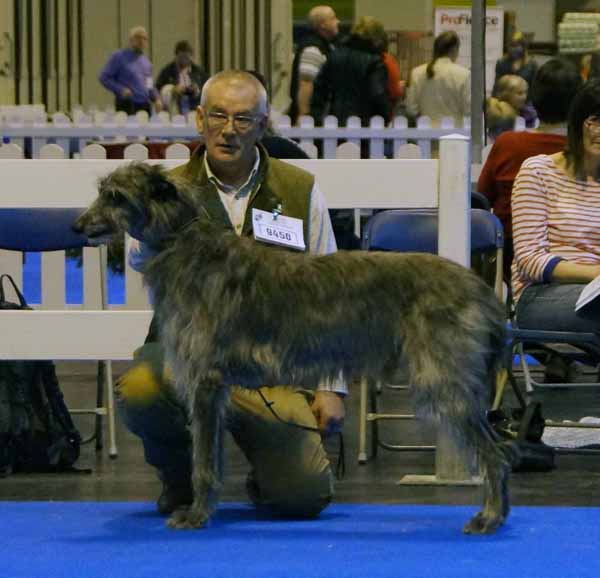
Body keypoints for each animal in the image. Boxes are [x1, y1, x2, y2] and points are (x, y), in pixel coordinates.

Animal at [74, 161, 516, 532]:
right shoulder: (215, 390)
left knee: (496, 453)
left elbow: (202, 461)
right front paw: (206, 507)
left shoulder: (205, 381)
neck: (185, 244)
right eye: (103, 192)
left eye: (116, 196)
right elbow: (210, 455)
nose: (78, 225)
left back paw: (490, 516)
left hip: (445, 379)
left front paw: (197, 515)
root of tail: (480, 288)